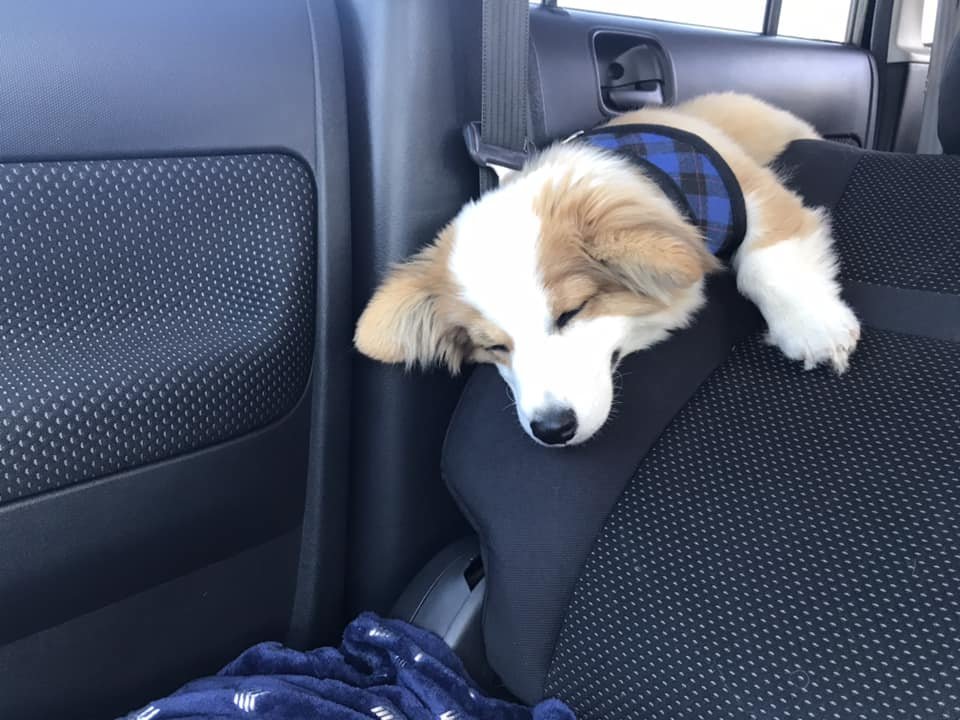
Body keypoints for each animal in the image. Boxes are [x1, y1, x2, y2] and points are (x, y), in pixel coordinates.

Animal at [354, 93, 864, 448]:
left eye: (572, 311)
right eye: (493, 347)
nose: (552, 430)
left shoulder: (756, 194)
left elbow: (766, 262)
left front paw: (813, 328)